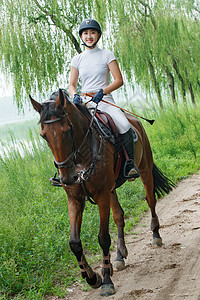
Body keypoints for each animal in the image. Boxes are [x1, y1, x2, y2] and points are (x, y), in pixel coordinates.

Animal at [29, 88, 173, 296]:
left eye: (67, 130)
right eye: (43, 135)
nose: (66, 178)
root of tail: (134, 120)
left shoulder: (102, 195)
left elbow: (103, 238)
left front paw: (105, 280)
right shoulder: (75, 199)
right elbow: (74, 242)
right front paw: (91, 277)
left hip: (144, 170)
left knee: (150, 200)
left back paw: (156, 236)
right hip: (111, 189)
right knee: (119, 216)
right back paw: (119, 256)